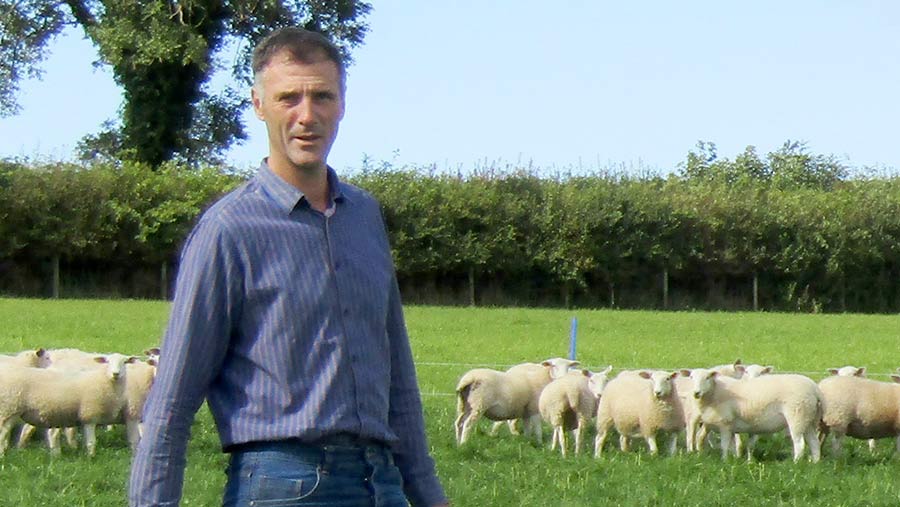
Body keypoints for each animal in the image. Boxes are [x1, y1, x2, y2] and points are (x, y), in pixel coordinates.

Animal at [0, 354, 135, 456]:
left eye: (125, 362)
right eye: (107, 361)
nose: (115, 373)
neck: (104, 381)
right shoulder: (89, 415)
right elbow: (91, 442)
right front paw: (91, 458)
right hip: (10, 409)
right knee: (3, 434)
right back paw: (3, 455)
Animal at [688, 370, 824, 464]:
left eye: (707, 377)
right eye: (691, 377)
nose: (696, 393)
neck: (714, 392)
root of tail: (815, 389)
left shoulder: (725, 424)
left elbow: (724, 445)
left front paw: (724, 461)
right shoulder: (726, 426)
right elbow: (729, 445)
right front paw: (733, 460)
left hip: (797, 415)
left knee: (799, 444)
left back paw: (795, 464)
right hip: (809, 419)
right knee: (814, 442)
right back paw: (815, 463)